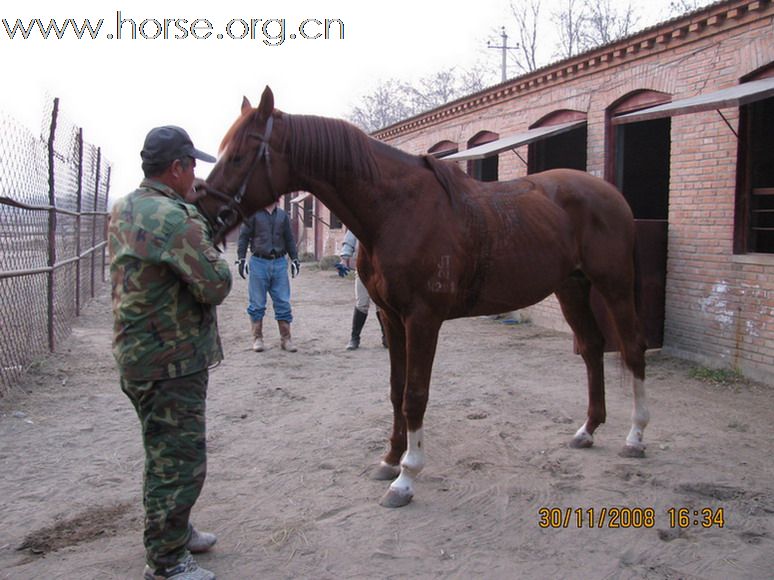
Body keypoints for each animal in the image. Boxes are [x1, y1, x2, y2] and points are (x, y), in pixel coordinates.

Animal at [203, 86, 652, 508]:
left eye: (239, 156)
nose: (206, 212)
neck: (395, 209)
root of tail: (612, 195)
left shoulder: (422, 319)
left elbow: (414, 395)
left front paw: (406, 477)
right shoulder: (390, 317)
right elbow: (395, 390)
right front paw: (389, 459)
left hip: (613, 285)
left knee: (632, 348)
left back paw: (635, 437)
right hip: (571, 287)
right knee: (592, 348)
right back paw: (588, 430)